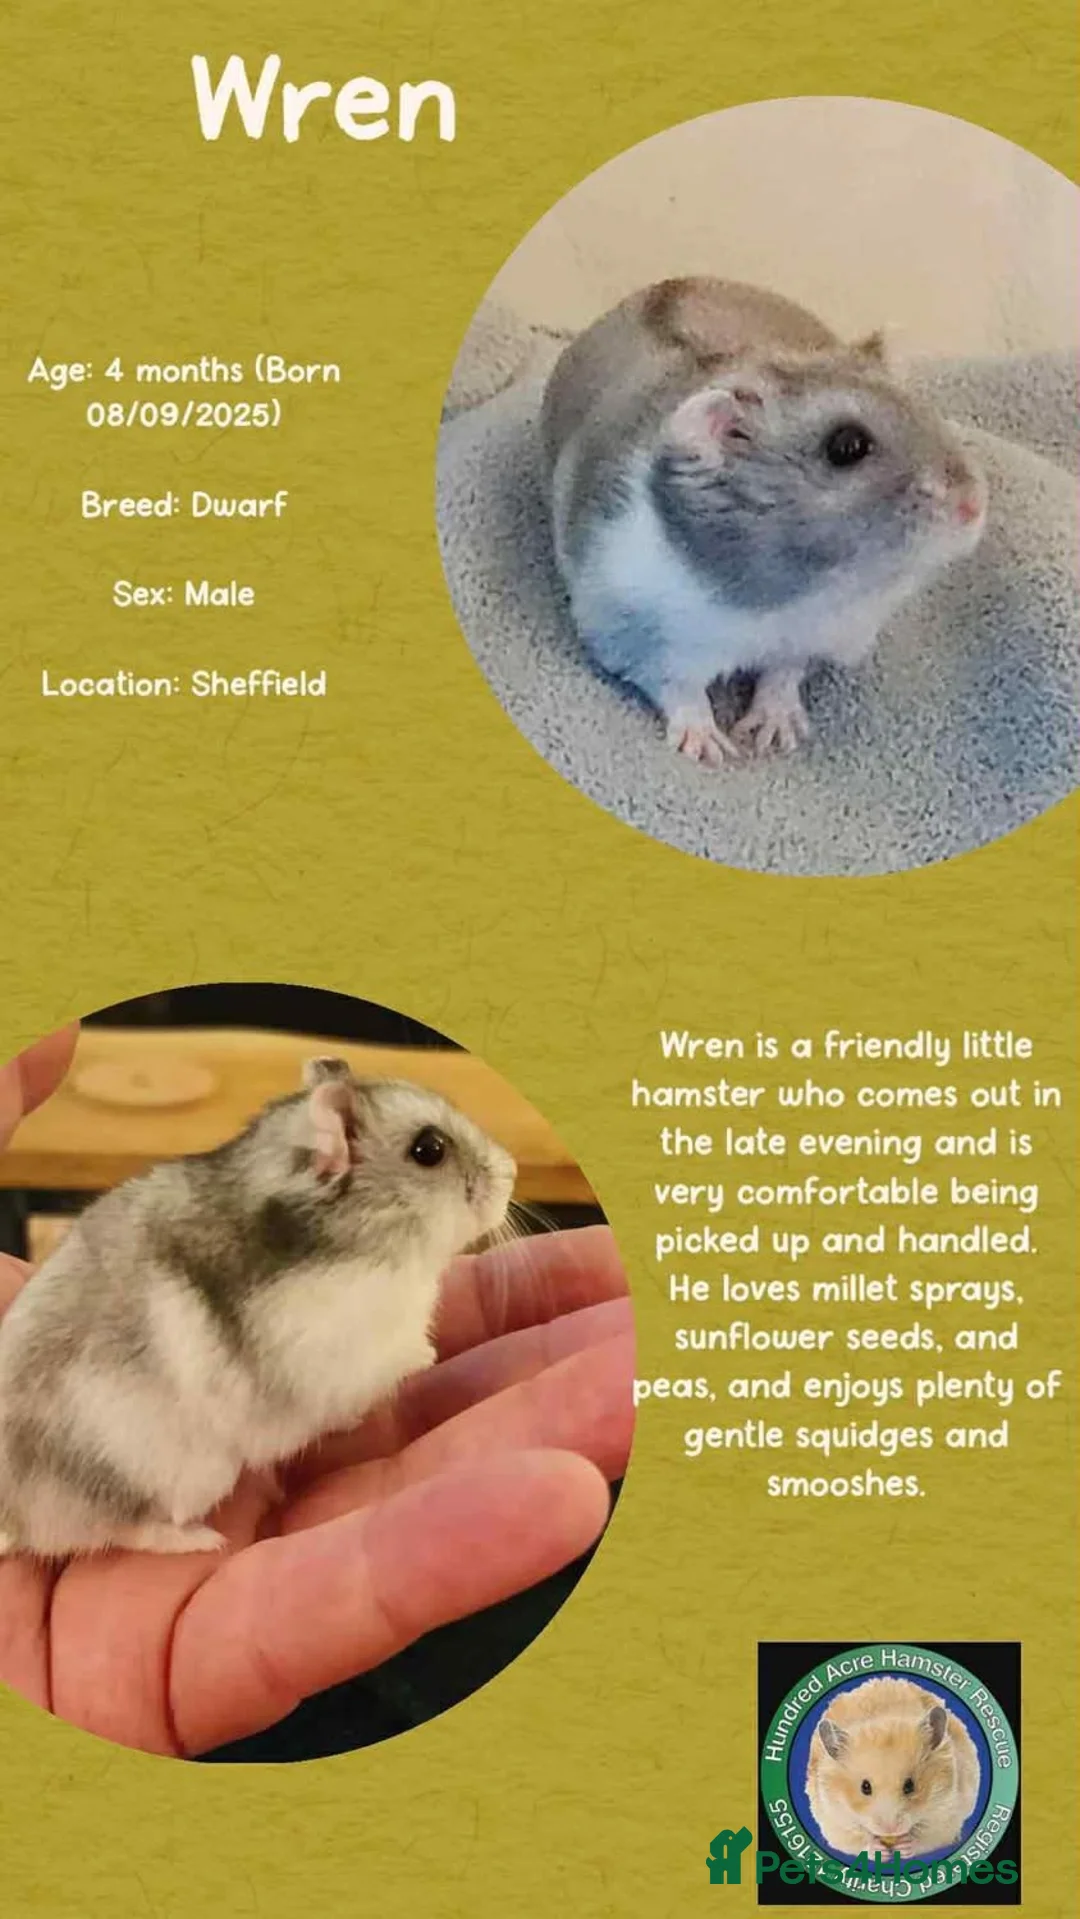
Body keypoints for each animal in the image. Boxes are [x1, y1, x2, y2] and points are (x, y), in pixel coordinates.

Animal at [0, 1057, 516, 1559]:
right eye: (430, 1149)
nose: (512, 1171)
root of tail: (12, 1517)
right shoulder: (339, 1354)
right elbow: (391, 1359)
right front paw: (426, 1354)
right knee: (120, 1530)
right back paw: (200, 1540)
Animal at [541, 276, 987, 765]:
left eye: (926, 410)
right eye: (846, 446)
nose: (975, 506)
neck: (795, 593)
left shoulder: (809, 639)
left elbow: (782, 672)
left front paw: (775, 733)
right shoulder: (630, 627)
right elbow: (678, 687)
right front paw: (711, 748)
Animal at [806, 1677, 981, 1859]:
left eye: (910, 1786)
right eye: (865, 1787)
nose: (890, 1829)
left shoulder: (946, 1813)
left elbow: (927, 1838)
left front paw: (904, 1847)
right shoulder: (835, 1820)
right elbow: (857, 1841)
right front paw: (880, 1852)